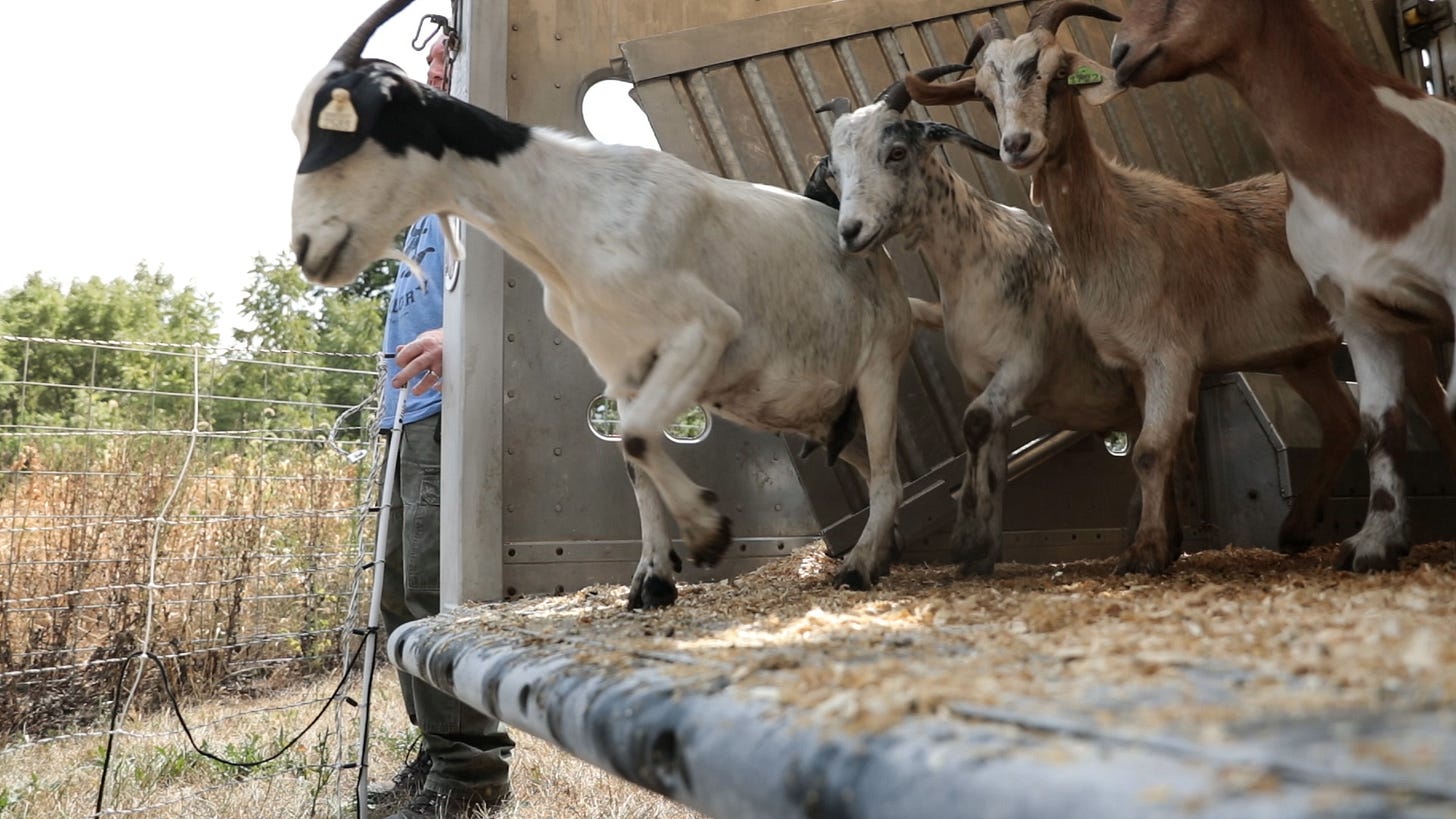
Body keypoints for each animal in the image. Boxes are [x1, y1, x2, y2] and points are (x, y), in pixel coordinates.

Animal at [291, 0, 916, 607]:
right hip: (827, 417)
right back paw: (882, 553)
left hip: (880, 365)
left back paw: (859, 567)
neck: (576, 207)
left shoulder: (704, 329)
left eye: (343, 126)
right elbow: (631, 455)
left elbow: (637, 437)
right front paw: (652, 581)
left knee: (888, 474)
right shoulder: (622, 365)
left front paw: (708, 533)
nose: (306, 248)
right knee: (873, 467)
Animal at [815, 78, 1141, 577]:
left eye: (896, 152)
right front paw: (981, 550)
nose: (851, 231)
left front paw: (967, 536)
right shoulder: (987, 383)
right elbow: (992, 452)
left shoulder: (1025, 361)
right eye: (834, 170)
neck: (979, 259)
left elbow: (975, 422)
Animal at [904, 4, 1367, 575]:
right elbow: (1155, 450)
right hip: (1302, 356)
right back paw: (1297, 529)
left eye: (1057, 77)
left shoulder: (1171, 354)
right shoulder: (1135, 364)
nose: (1017, 146)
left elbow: (1149, 450)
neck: (1120, 224)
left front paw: (1144, 552)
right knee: (1342, 420)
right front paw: (1162, 544)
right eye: (987, 98)